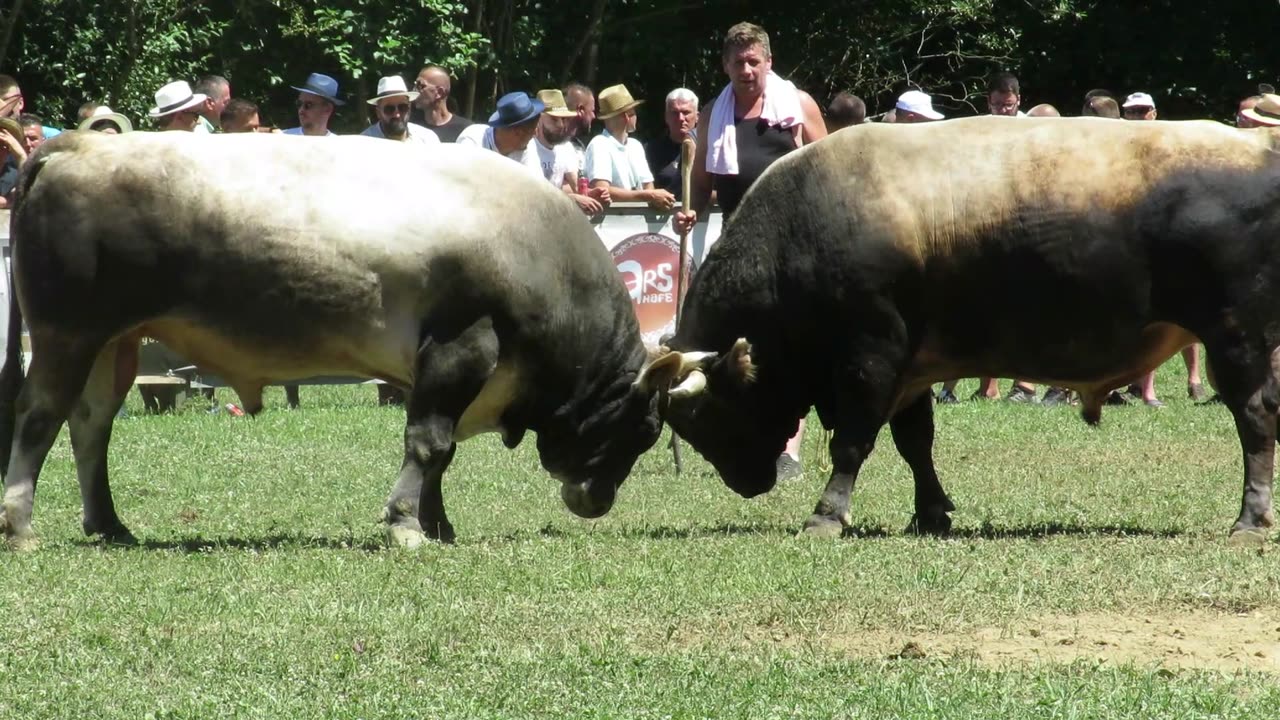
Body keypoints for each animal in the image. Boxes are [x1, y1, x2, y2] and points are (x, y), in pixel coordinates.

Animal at [0, 128, 660, 545]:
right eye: (645, 431)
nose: (599, 501)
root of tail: (75, 144)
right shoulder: (461, 347)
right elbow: (430, 444)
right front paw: (406, 526)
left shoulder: (438, 371)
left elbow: (440, 452)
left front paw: (437, 524)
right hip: (67, 333)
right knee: (38, 415)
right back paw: (21, 525)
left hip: (114, 342)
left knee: (90, 424)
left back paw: (109, 524)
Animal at [645, 113, 1280, 538]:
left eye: (701, 416)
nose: (745, 483)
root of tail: (1258, 145)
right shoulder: (911, 366)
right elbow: (915, 443)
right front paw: (931, 512)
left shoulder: (871, 355)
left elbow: (852, 442)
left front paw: (827, 514)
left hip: (1236, 339)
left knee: (1254, 419)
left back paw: (1249, 519)